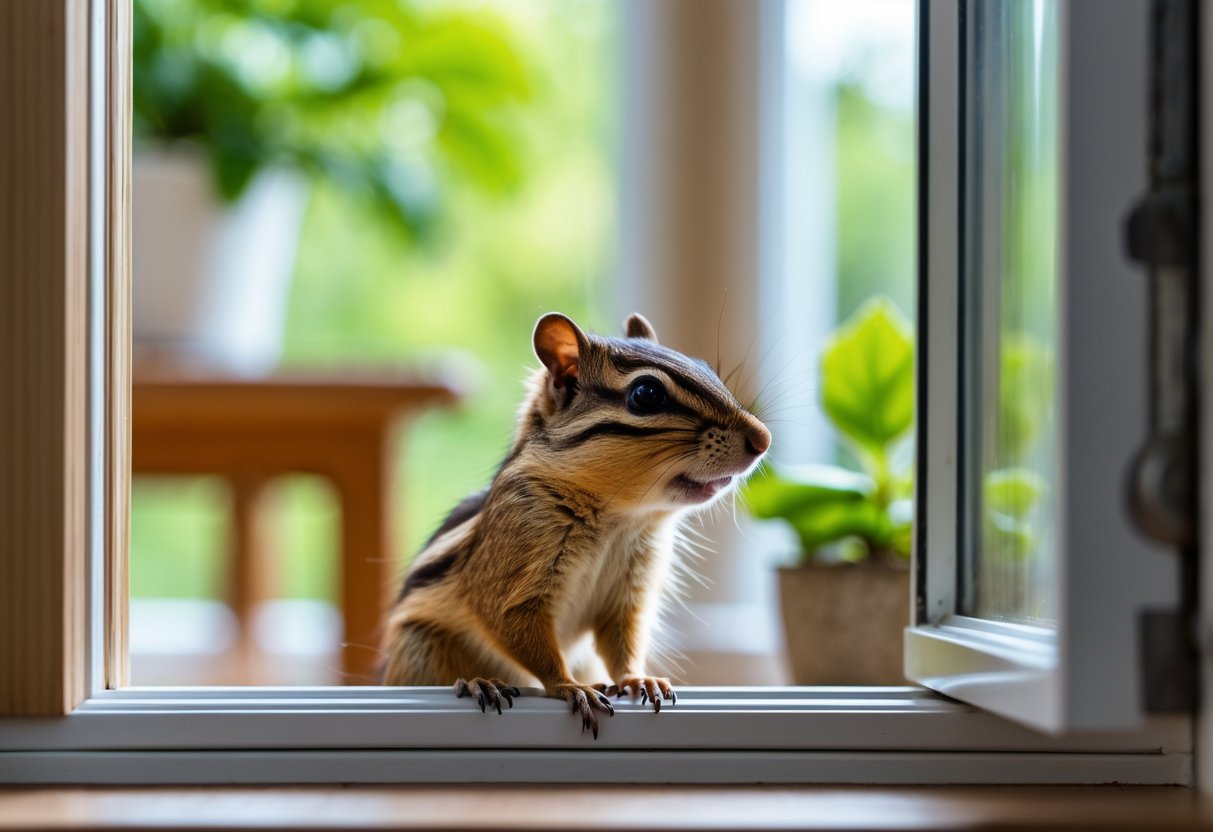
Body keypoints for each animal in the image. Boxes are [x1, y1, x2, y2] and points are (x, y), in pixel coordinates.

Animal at [381, 312, 771, 737]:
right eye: (646, 394)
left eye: (707, 369)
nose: (763, 439)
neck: (619, 519)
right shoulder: (514, 572)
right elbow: (518, 630)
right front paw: (570, 687)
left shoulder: (627, 592)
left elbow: (623, 641)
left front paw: (638, 678)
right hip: (420, 647)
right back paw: (477, 683)